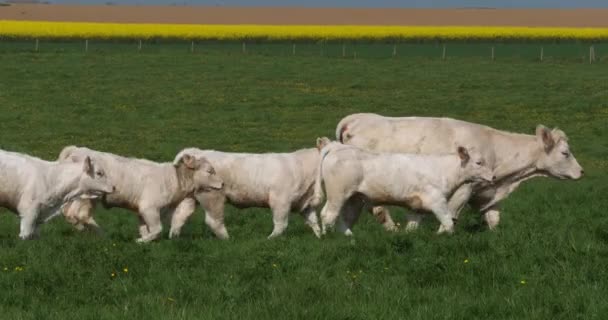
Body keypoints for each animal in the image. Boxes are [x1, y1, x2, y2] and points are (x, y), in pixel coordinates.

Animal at [57, 146, 222, 242]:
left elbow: (145, 229)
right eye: (209, 171)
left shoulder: (143, 211)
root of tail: (76, 150)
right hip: (87, 198)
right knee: (77, 214)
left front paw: (145, 240)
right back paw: (101, 235)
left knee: (68, 212)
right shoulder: (149, 208)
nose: (223, 184)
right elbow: (157, 229)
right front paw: (140, 241)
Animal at [169, 148, 324, 240]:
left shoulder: (304, 203)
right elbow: (281, 223)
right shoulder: (280, 200)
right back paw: (227, 239)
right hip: (213, 196)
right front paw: (270, 239)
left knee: (179, 216)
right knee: (214, 220)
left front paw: (320, 238)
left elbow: (313, 220)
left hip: (190, 198)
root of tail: (197, 151)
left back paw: (174, 238)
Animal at [314, 140, 494, 235]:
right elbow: (448, 223)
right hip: (338, 194)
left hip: (354, 198)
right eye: (479, 162)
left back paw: (350, 237)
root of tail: (337, 147)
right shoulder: (437, 200)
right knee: (328, 215)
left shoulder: (416, 207)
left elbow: (412, 227)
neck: (443, 170)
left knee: (343, 218)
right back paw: (328, 237)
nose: (493, 177)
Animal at [338, 114, 584, 231]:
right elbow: (451, 216)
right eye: (565, 152)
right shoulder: (463, 190)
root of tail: (357, 118)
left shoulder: (487, 193)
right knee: (378, 209)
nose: (581, 171)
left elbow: (494, 219)